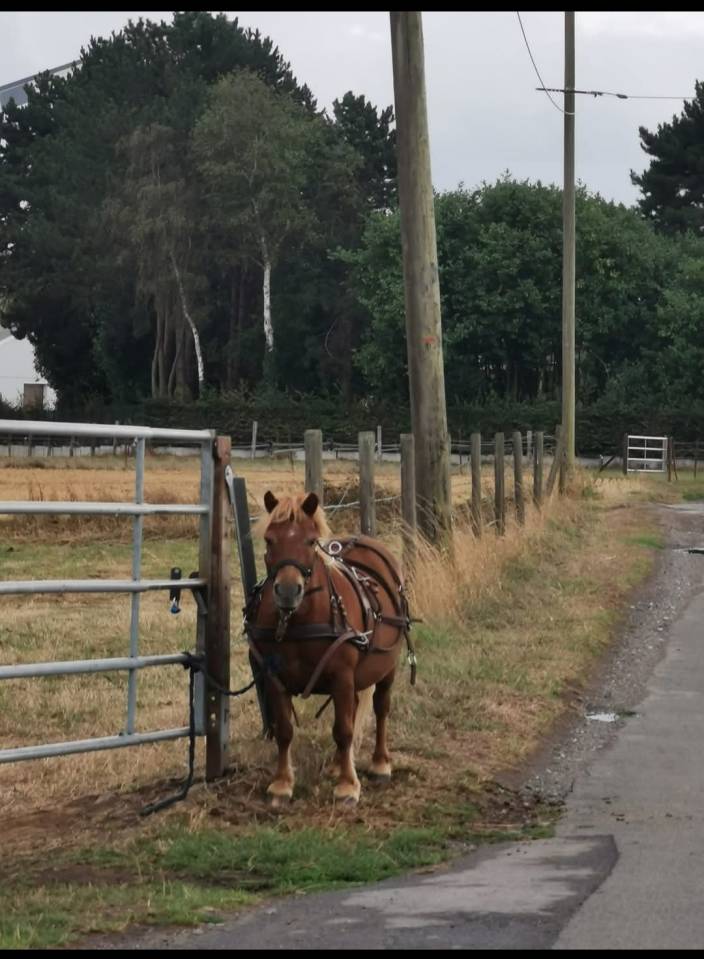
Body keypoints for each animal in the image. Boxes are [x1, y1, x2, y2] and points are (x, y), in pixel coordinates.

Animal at [243, 490, 416, 806]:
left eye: (311, 541)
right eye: (270, 540)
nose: (288, 591)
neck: (298, 620)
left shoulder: (342, 675)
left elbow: (344, 730)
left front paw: (348, 786)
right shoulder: (274, 678)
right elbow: (284, 730)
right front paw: (281, 783)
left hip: (386, 668)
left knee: (381, 708)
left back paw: (379, 764)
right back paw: (337, 764)